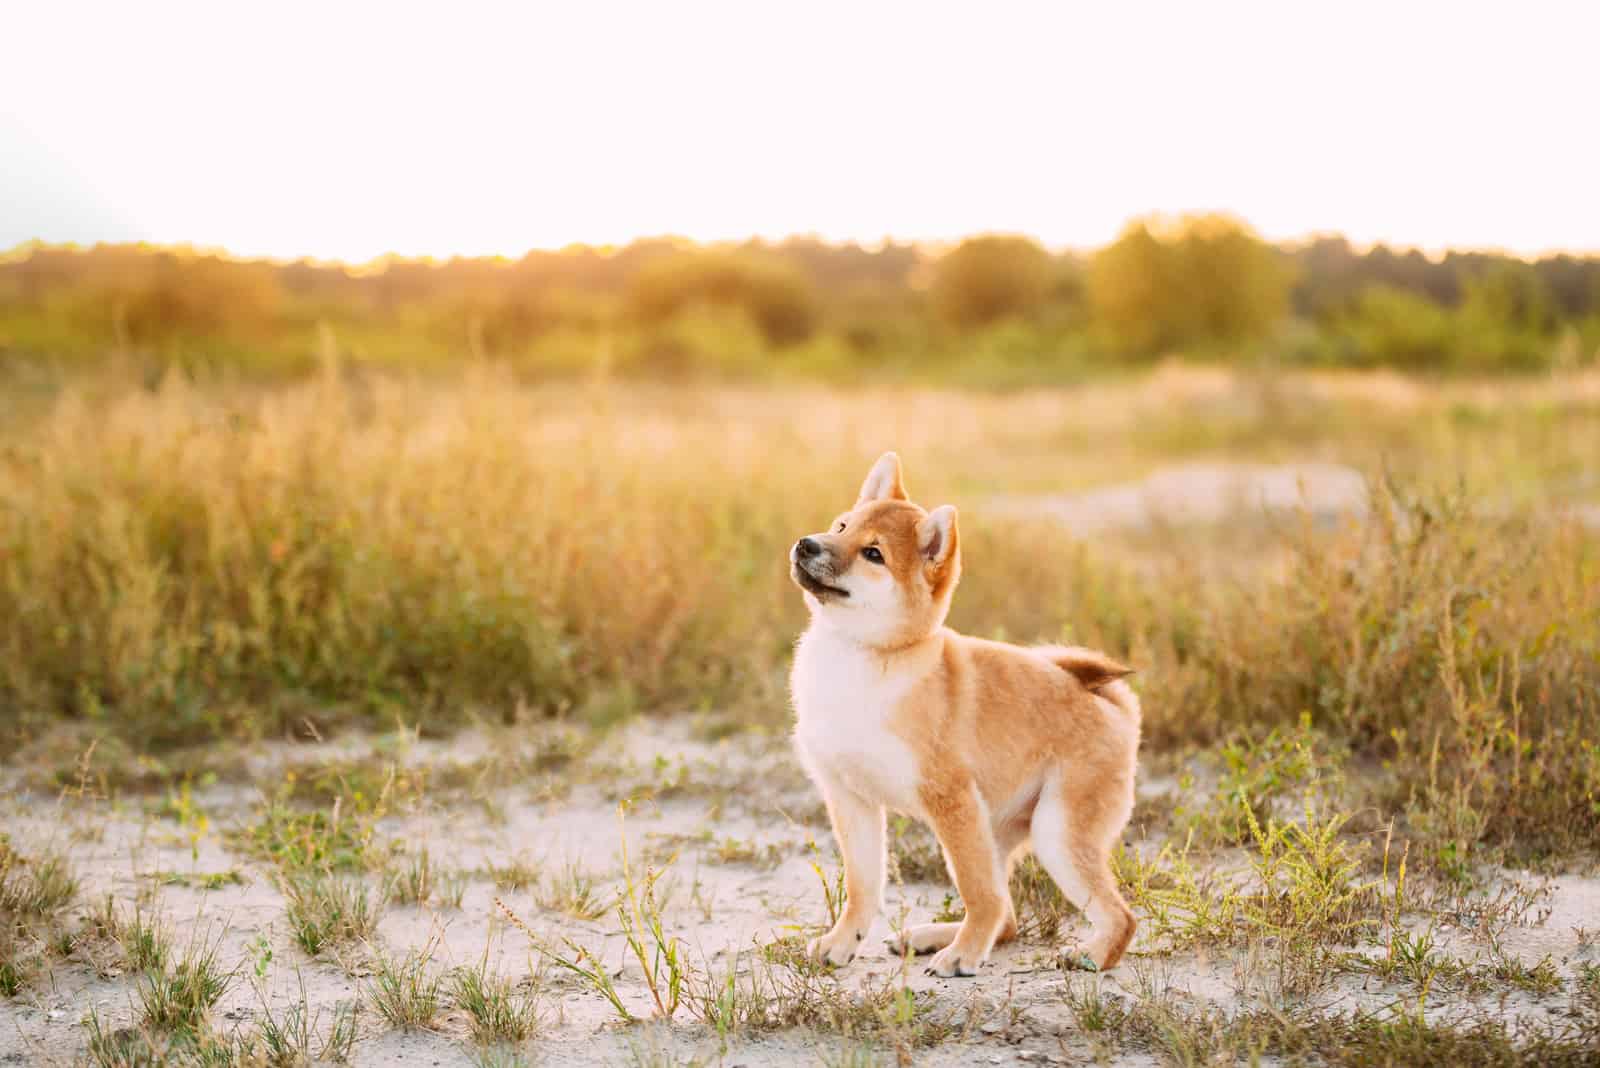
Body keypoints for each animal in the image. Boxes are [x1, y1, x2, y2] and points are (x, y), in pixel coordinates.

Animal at [787, 450, 1139, 978]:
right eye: (841, 525)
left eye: (874, 554)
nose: (807, 543)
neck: (861, 658)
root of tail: (1108, 700)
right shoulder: (850, 798)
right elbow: (862, 887)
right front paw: (841, 943)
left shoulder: (950, 799)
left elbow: (978, 894)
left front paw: (965, 954)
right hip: (997, 829)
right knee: (1008, 915)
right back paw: (931, 935)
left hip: (1052, 832)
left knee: (1111, 916)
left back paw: (1091, 954)